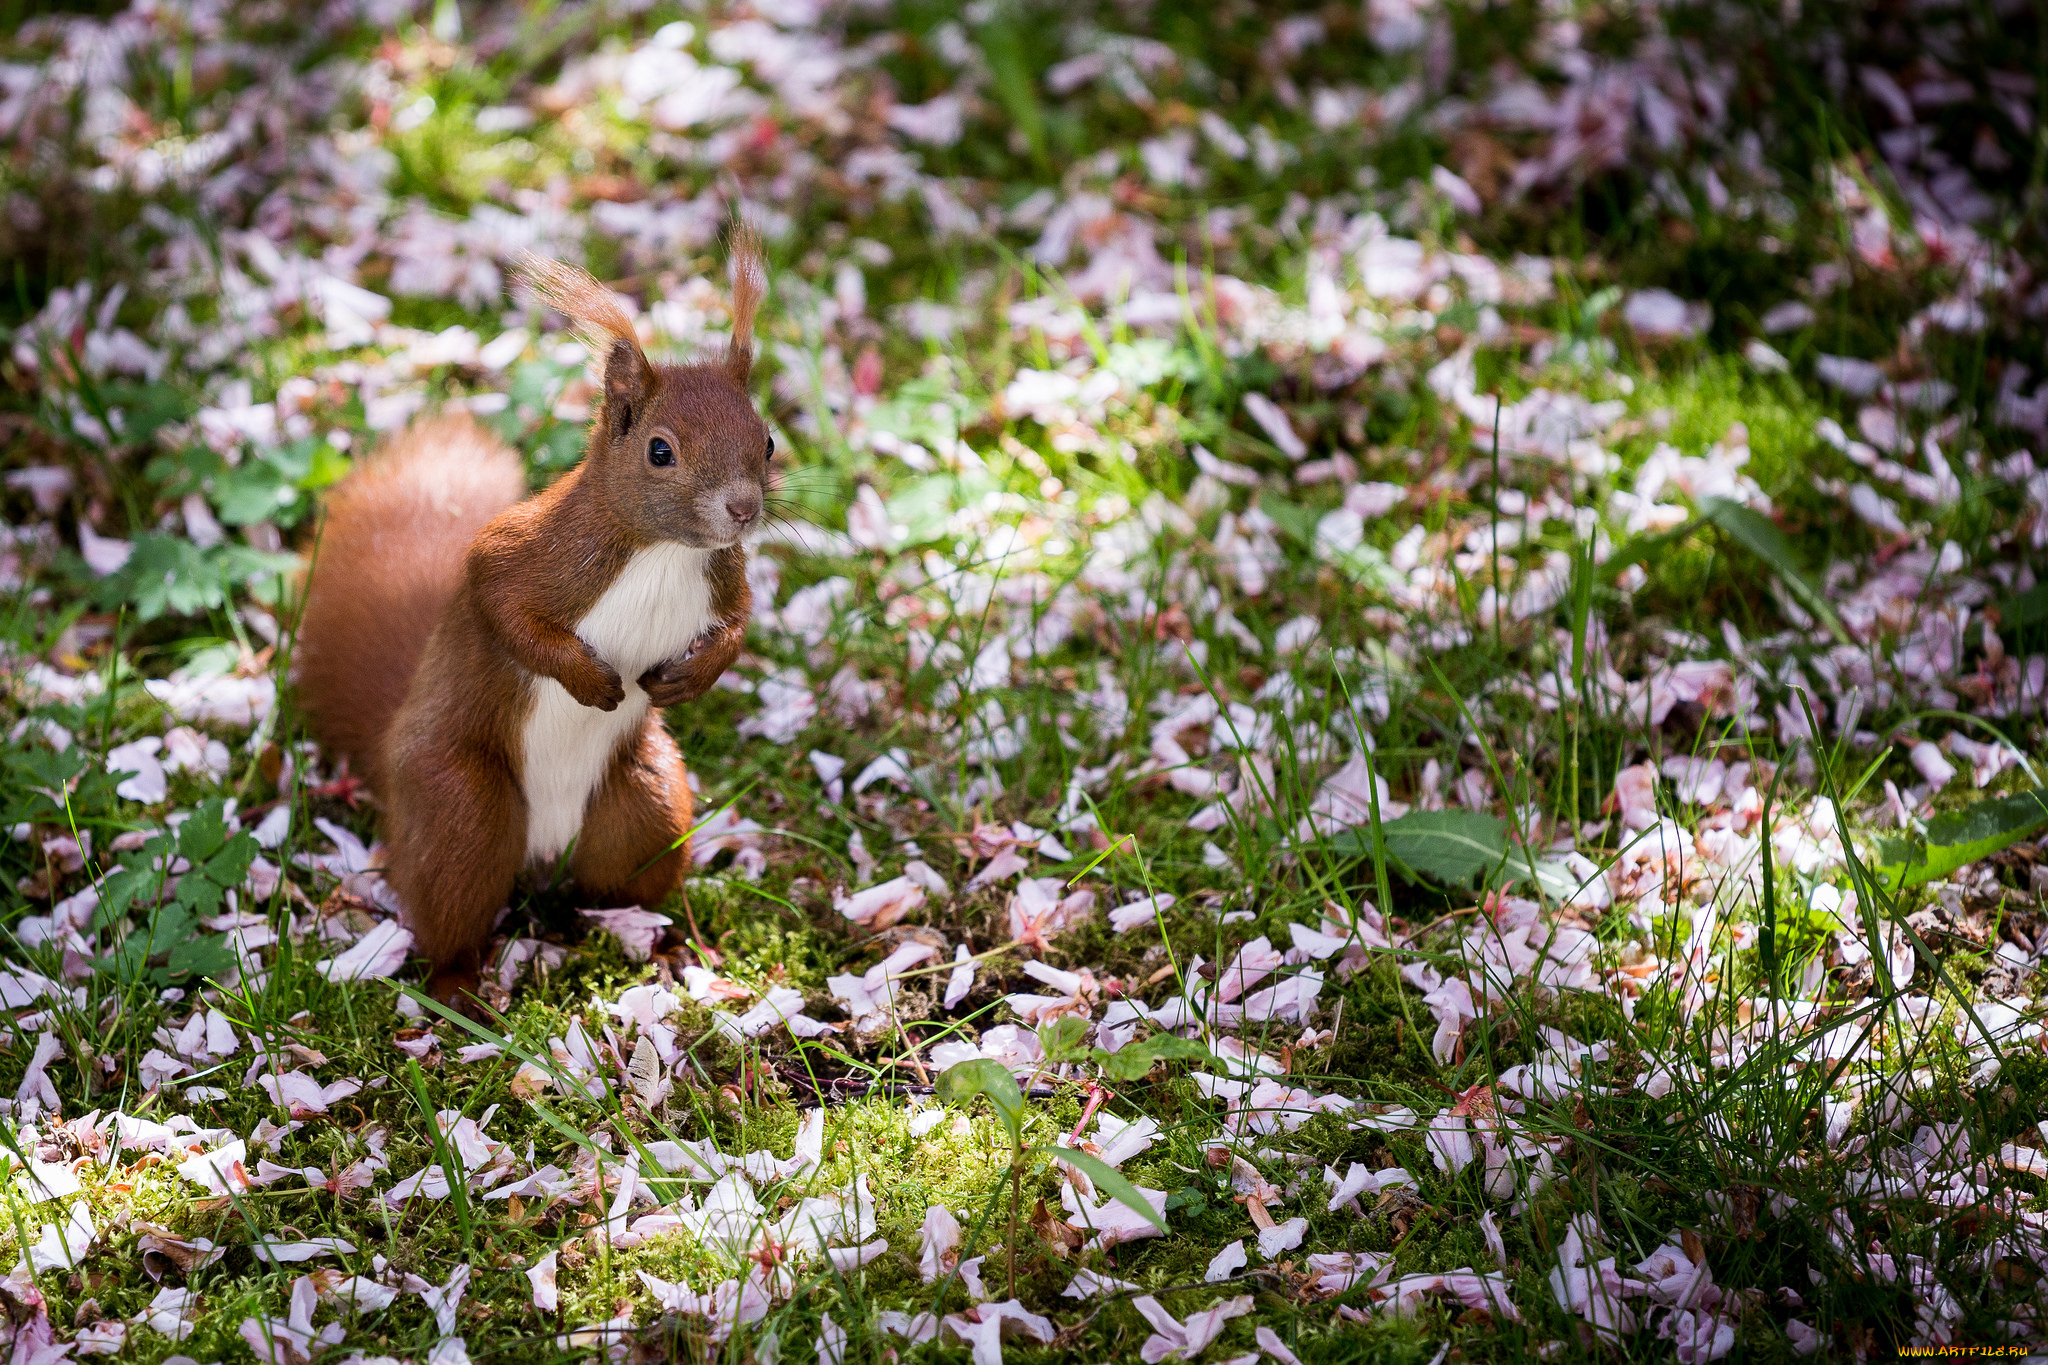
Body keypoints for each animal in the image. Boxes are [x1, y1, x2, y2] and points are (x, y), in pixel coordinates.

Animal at [288, 235, 770, 1002]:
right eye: (660, 450)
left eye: (769, 440)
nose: (744, 509)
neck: (665, 552)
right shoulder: (525, 553)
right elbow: (502, 604)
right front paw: (591, 680)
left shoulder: (725, 578)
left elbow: (740, 620)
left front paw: (694, 675)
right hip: (463, 806)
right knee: (449, 908)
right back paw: (461, 989)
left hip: (646, 805)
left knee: (623, 881)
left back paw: (663, 948)